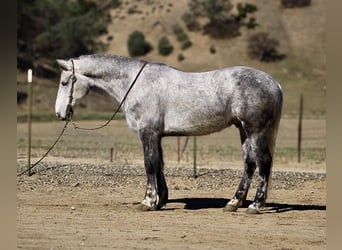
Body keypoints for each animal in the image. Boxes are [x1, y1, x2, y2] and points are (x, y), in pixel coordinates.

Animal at [54, 54, 282, 213]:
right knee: (249, 164)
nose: (59, 113)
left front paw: (147, 201)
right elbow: (159, 165)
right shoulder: (157, 136)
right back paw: (234, 202)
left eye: (65, 82)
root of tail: (274, 83)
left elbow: (149, 164)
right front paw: (160, 200)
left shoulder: (147, 133)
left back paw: (255, 205)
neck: (136, 83)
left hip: (256, 131)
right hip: (244, 131)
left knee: (263, 163)